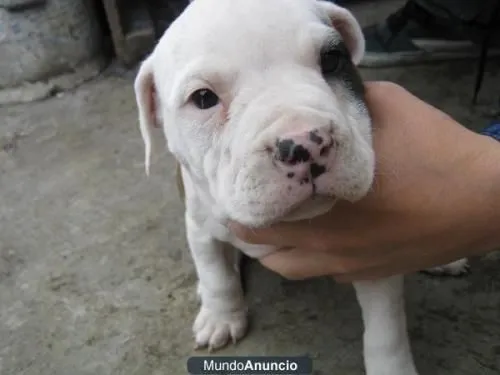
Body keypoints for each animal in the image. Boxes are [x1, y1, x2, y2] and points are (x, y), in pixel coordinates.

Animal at [135, 1, 466, 374]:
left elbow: (386, 329)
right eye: (203, 98)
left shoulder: (375, 257)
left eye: (332, 59)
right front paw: (221, 316)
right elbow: (216, 272)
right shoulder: (200, 224)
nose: (304, 142)